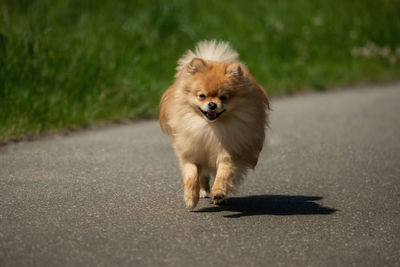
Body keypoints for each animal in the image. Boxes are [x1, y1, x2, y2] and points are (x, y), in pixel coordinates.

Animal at [159, 40, 268, 210]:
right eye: (202, 96)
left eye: (223, 97)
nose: (212, 104)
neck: (209, 128)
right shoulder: (191, 153)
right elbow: (191, 176)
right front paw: (190, 198)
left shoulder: (229, 152)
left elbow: (223, 173)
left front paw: (218, 193)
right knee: (203, 176)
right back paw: (203, 191)